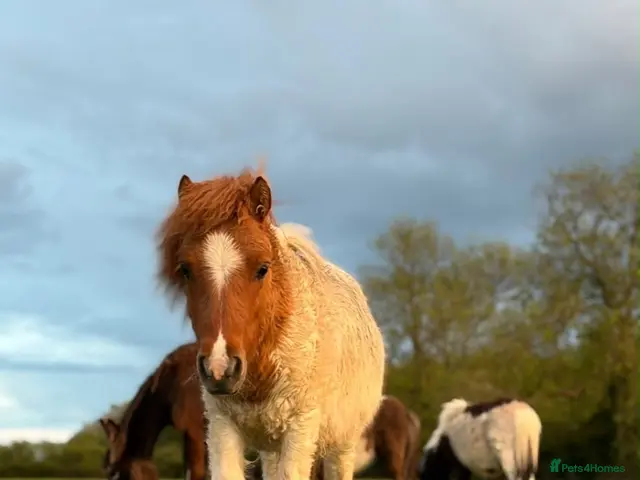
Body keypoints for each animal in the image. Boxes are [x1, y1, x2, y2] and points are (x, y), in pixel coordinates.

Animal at [156, 166, 386, 480]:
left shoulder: (300, 430)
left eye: (263, 268)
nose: (219, 369)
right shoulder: (222, 428)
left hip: (341, 445)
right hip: (271, 448)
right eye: (185, 269)